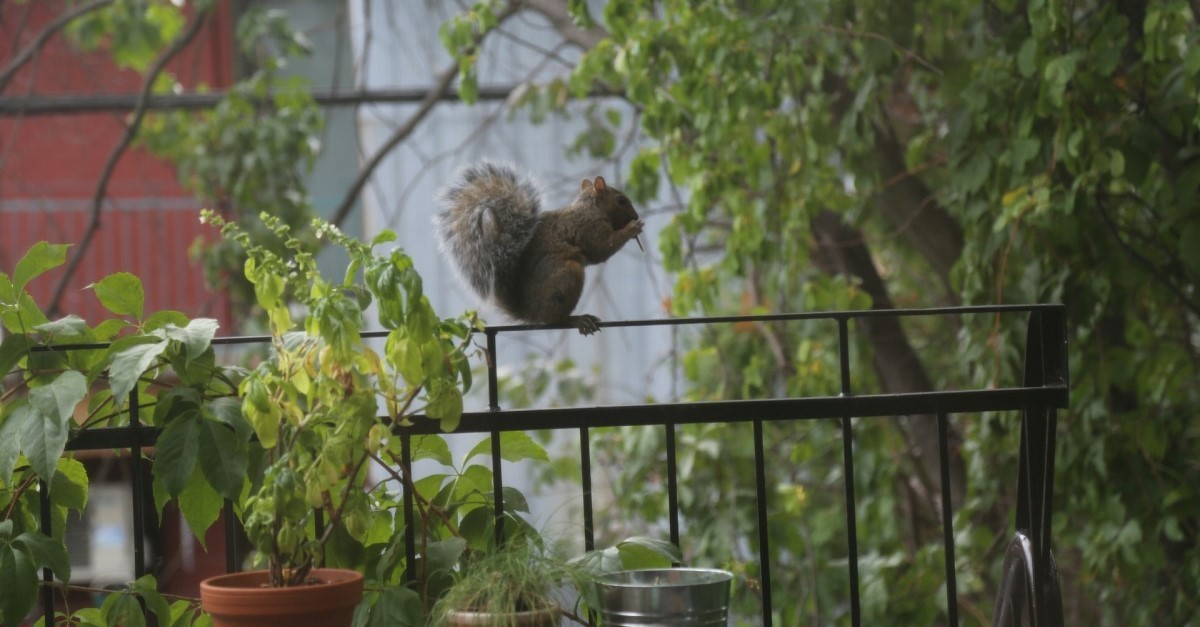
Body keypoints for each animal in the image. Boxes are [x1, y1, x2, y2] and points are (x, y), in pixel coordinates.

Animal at [434, 162, 645, 335]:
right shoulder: (590, 229)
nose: (636, 215)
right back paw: (577, 319)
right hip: (567, 275)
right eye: (621, 200)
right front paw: (633, 228)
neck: (591, 208)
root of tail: (531, 313)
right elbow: (603, 248)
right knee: (555, 319)